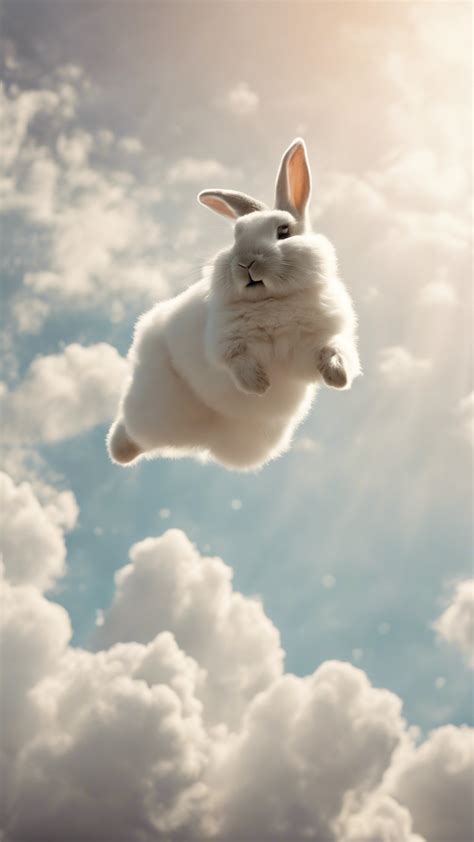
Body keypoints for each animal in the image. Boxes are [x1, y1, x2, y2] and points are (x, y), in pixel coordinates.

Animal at [107, 138, 361, 471]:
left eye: (283, 231)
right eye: (236, 236)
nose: (245, 263)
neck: (271, 302)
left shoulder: (318, 340)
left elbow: (332, 351)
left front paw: (337, 377)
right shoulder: (225, 344)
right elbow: (236, 362)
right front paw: (260, 385)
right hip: (155, 401)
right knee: (132, 429)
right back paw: (119, 451)